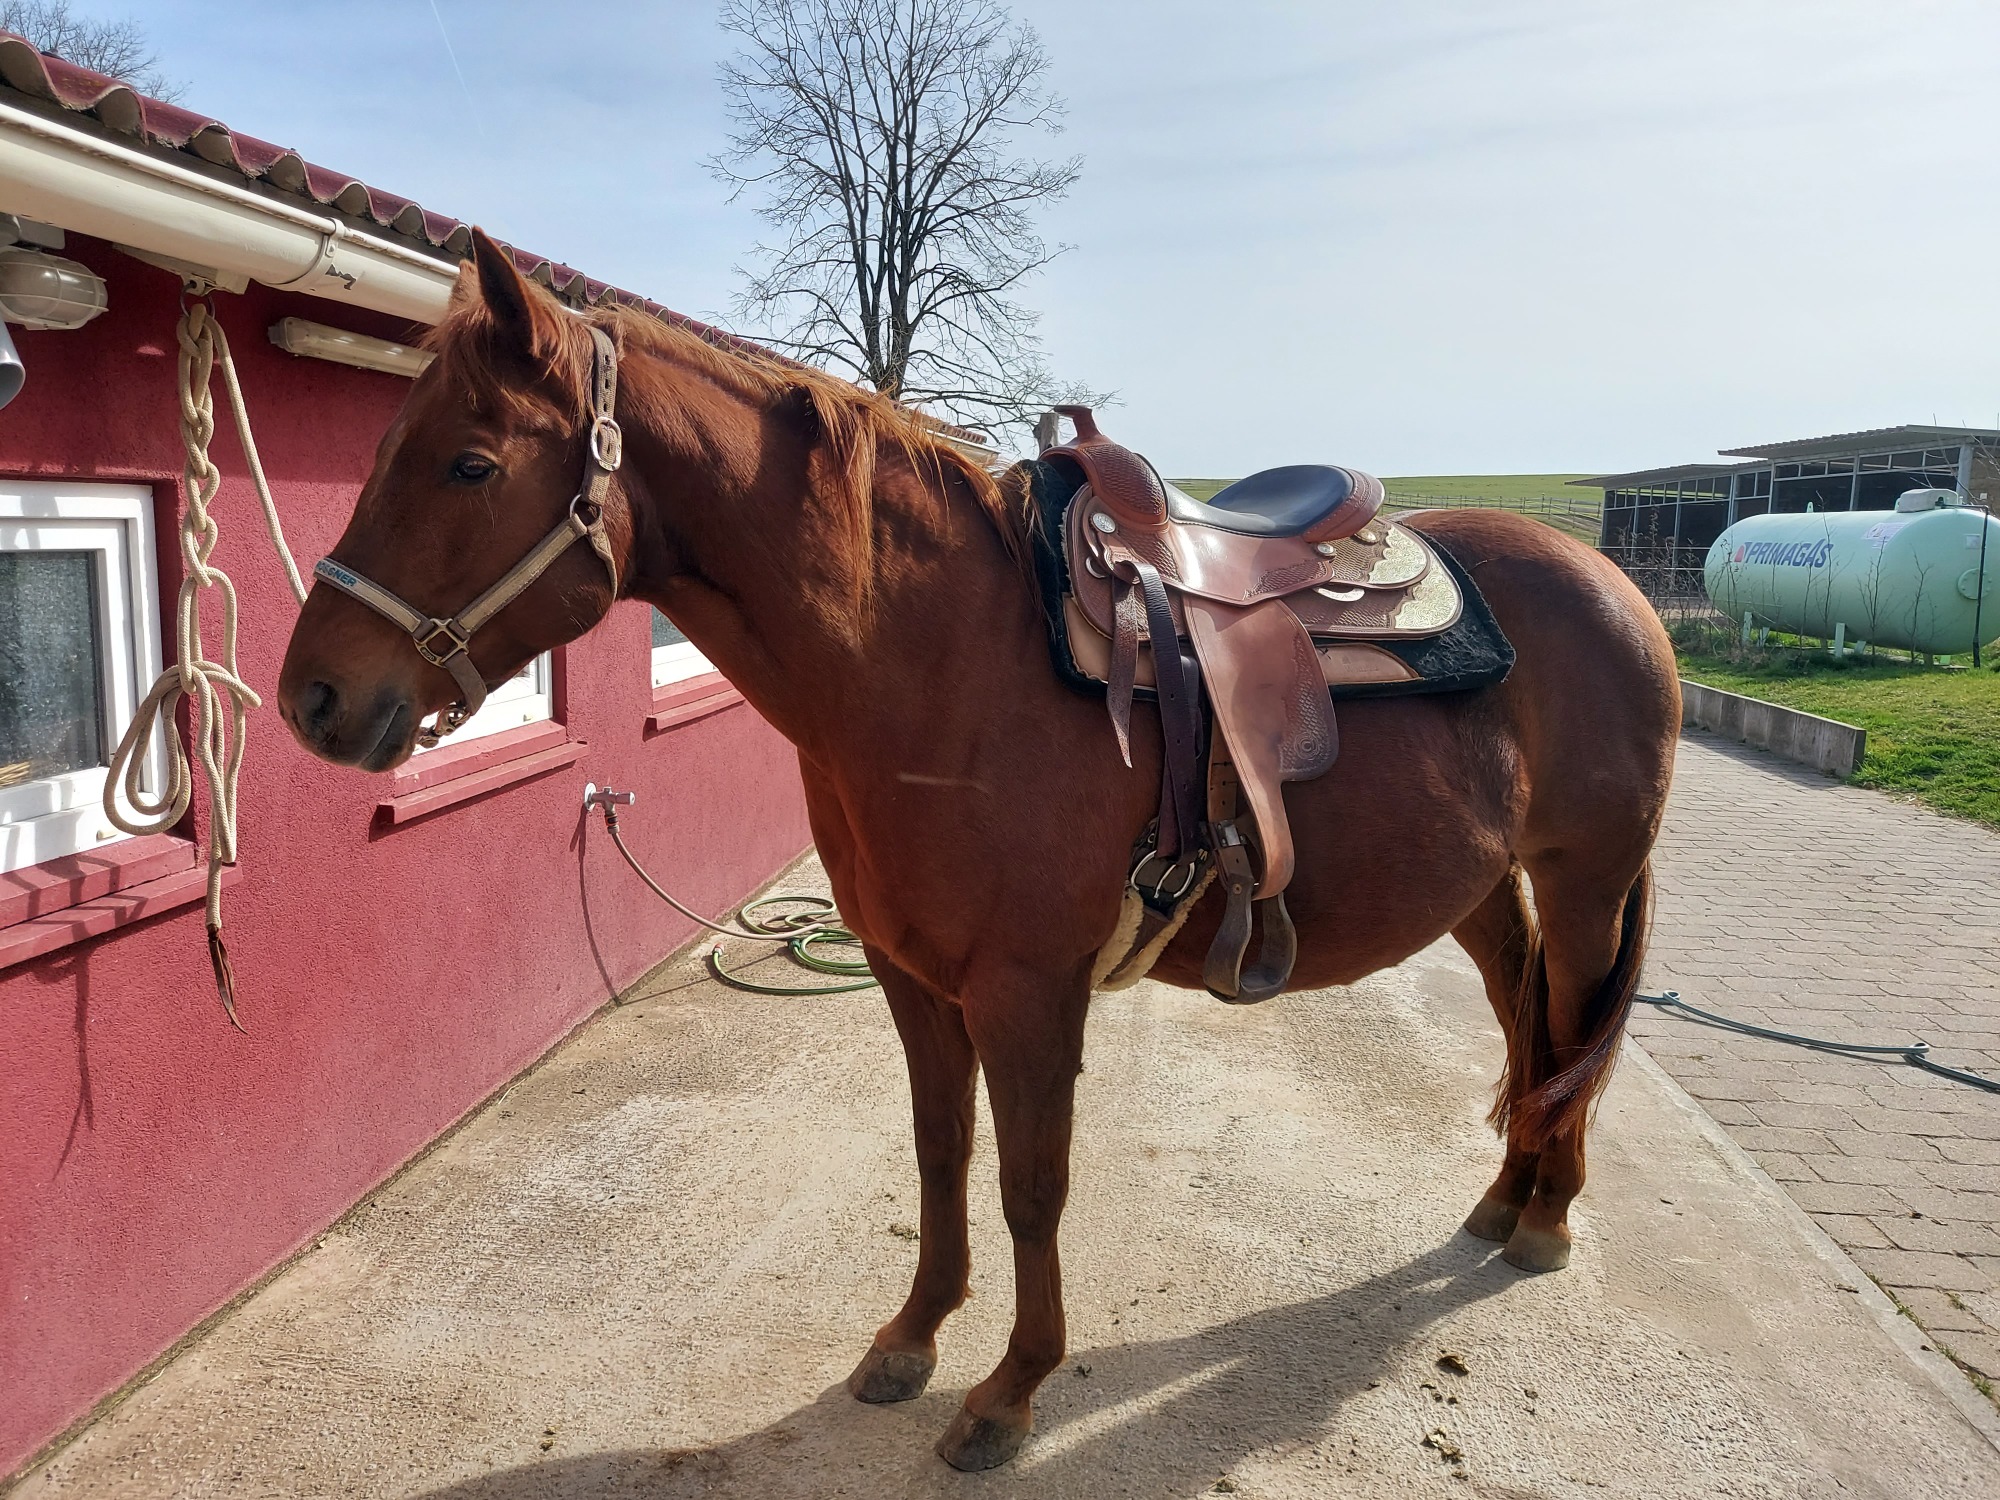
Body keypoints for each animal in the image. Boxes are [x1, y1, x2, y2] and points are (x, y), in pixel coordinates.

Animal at [278, 229, 1679, 1472]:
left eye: (468, 464)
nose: (311, 701)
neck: (936, 662)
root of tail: (1612, 584)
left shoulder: (1026, 994)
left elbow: (1029, 1185)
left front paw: (1010, 1391)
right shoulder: (912, 977)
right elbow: (939, 1154)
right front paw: (911, 1339)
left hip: (1586, 881)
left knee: (1566, 1024)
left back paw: (1546, 1216)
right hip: (1485, 888)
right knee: (1523, 1018)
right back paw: (1504, 1195)